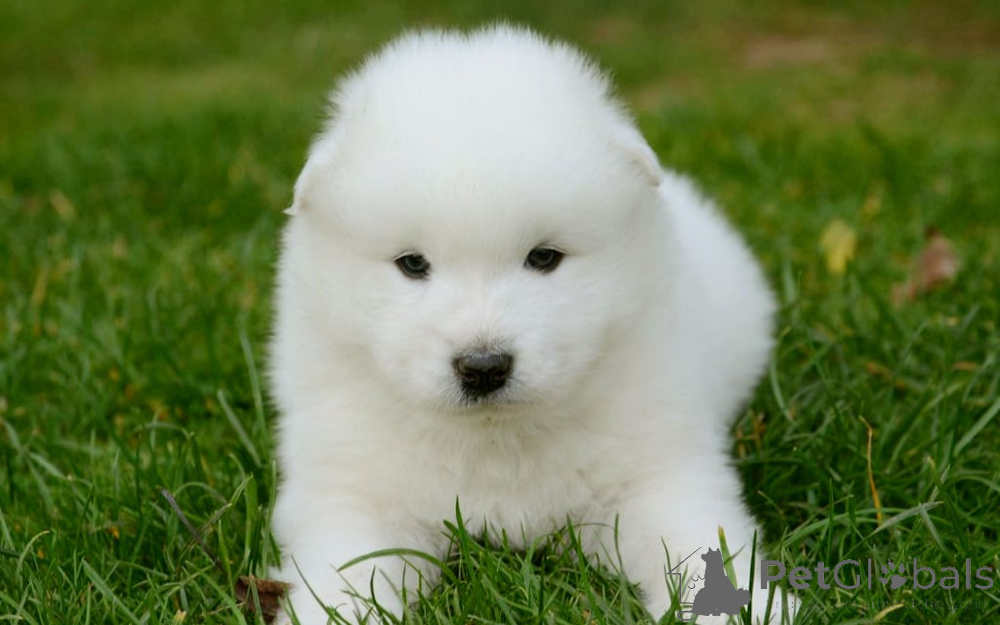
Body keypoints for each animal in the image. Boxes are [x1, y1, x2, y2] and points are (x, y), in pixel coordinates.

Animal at [269, 24, 794, 624]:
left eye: (544, 257)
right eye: (412, 264)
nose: (483, 367)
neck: (496, 439)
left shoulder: (660, 468)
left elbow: (697, 540)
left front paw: (748, 608)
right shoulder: (351, 491)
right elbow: (349, 572)